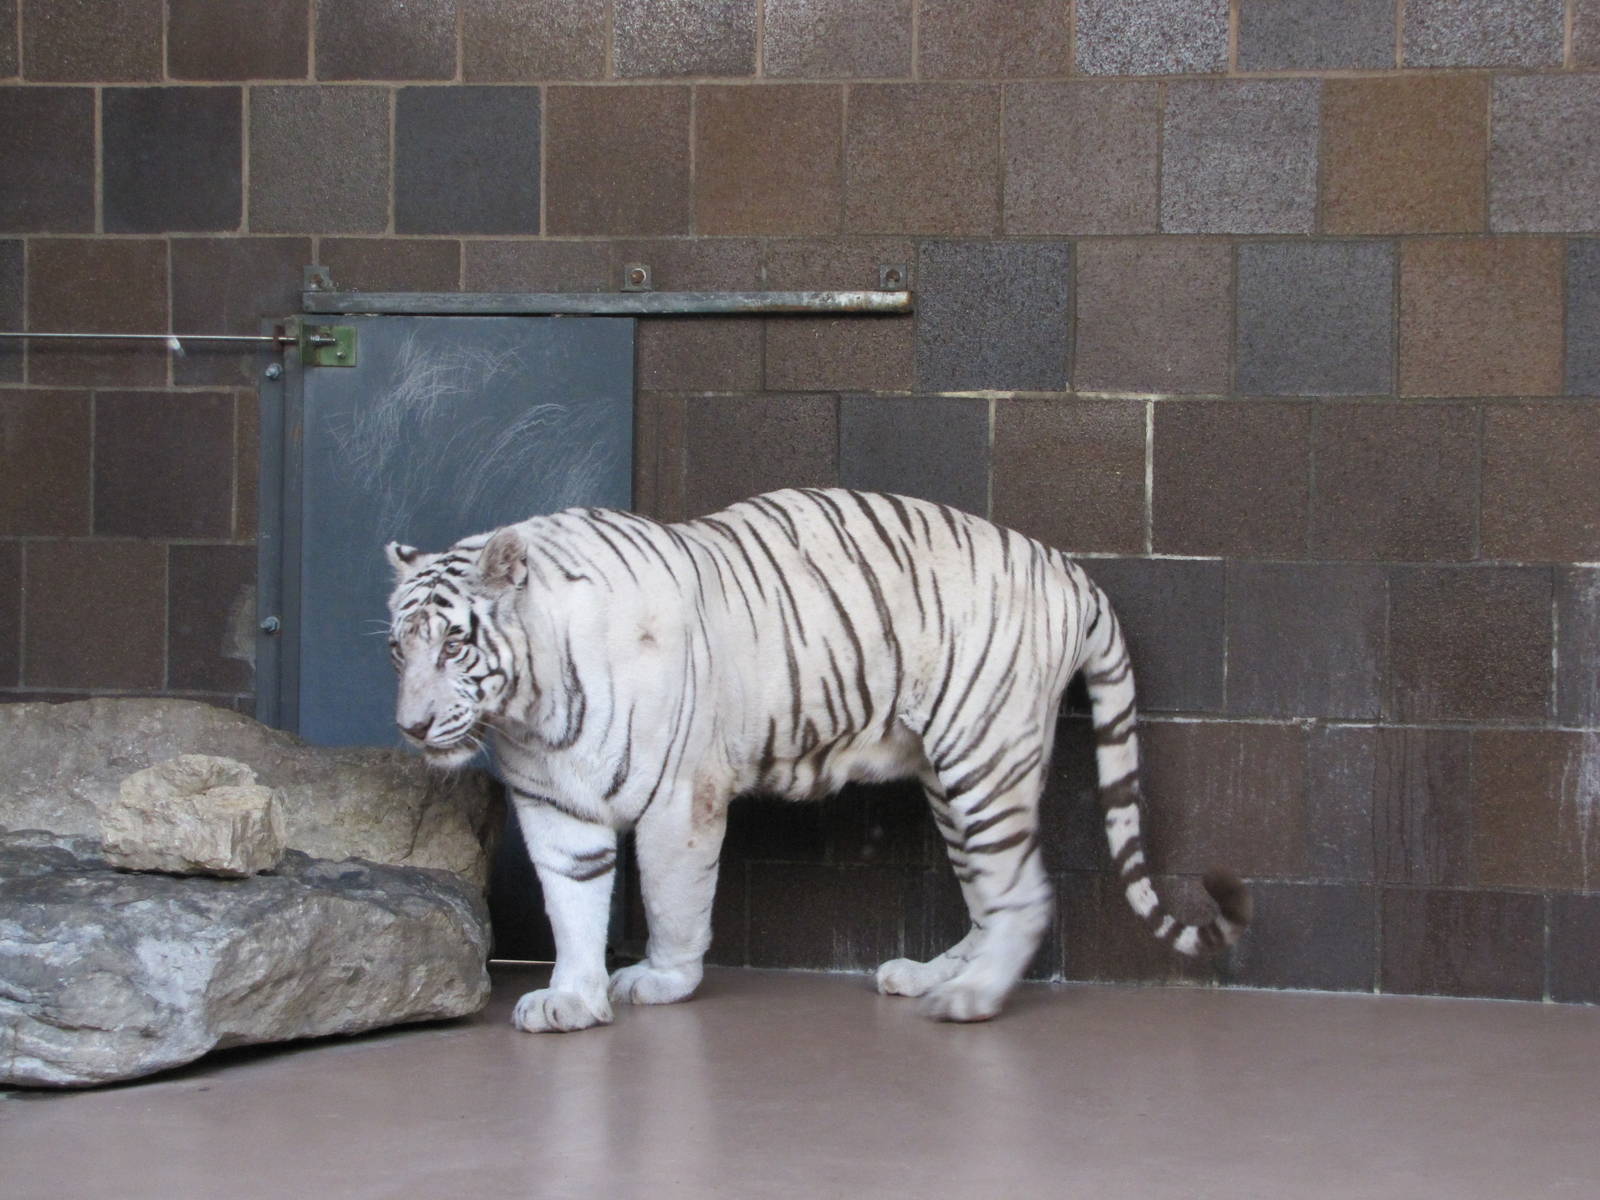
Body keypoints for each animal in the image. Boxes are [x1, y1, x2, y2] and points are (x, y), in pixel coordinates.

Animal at [385, 488, 1250, 1032]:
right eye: (400, 648)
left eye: (455, 644)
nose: (412, 726)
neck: (531, 710)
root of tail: (1069, 568)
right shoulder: (555, 809)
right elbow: (572, 905)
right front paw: (570, 997)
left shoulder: (680, 798)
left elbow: (670, 900)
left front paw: (661, 980)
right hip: (955, 781)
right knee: (991, 897)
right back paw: (935, 976)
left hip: (983, 760)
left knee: (1027, 896)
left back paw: (969, 1000)